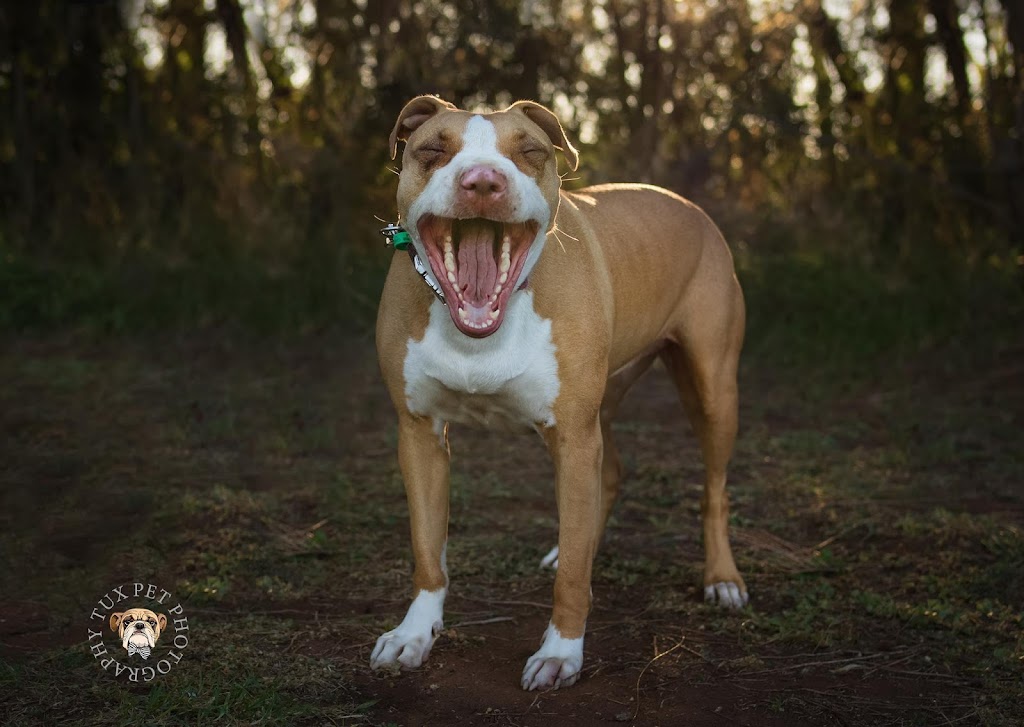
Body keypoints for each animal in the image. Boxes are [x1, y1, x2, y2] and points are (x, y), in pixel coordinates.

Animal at [372, 96, 749, 696]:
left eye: (530, 151)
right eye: (432, 150)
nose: (483, 181)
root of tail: (690, 205)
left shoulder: (573, 436)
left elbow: (573, 577)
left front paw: (561, 653)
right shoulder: (419, 432)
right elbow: (428, 552)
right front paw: (414, 634)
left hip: (712, 390)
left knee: (713, 489)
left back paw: (723, 579)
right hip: (605, 403)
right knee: (610, 472)